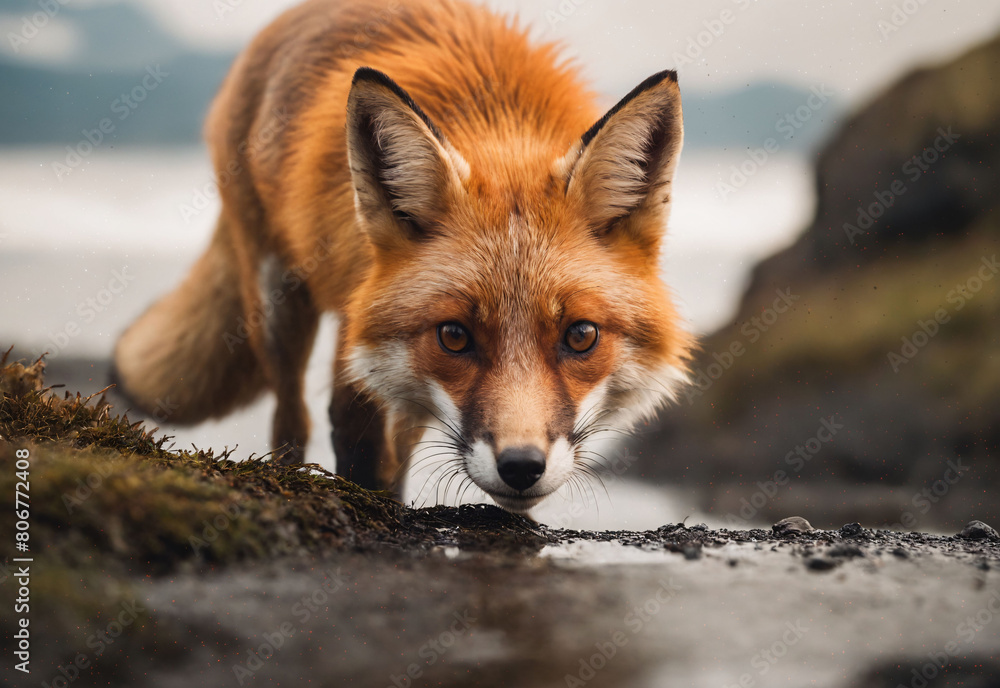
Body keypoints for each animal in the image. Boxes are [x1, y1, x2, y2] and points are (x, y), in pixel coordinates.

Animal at [112, 0, 692, 513]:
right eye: (454, 336)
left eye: (581, 335)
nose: (522, 466)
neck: (500, 124)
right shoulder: (359, 340)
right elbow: (355, 437)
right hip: (279, 301)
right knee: (290, 418)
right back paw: (286, 476)